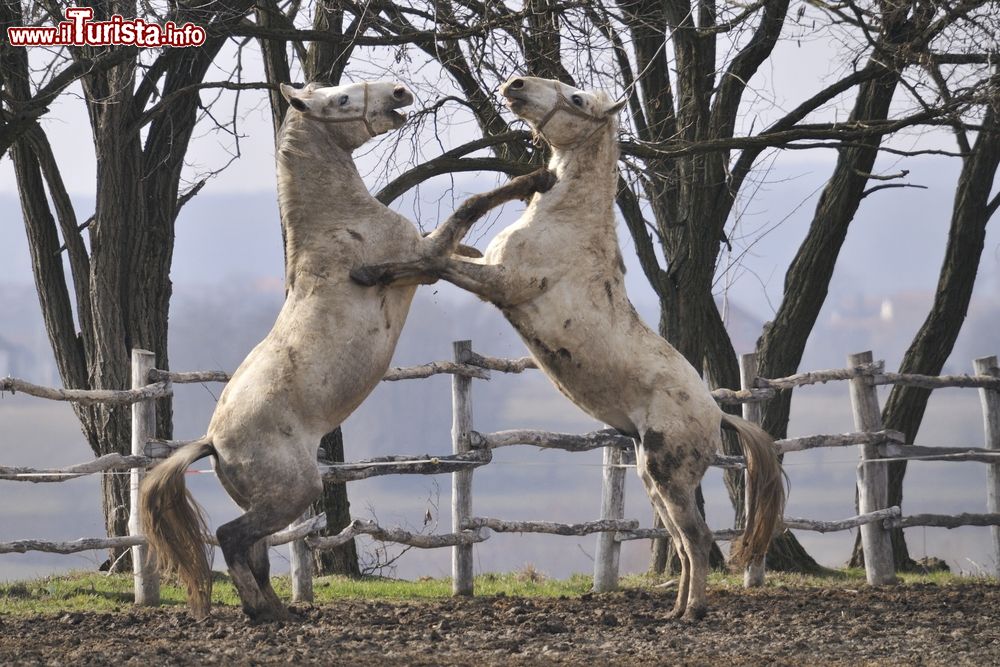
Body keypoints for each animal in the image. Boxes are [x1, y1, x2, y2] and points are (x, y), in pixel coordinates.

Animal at [143, 81, 556, 624]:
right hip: (295, 492)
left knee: (255, 550)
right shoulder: (421, 259)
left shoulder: (424, 256)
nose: (399, 92)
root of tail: (214, 441)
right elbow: (468, 210)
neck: (343, 227)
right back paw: (262, 612)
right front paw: (538, 177)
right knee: (232, 539)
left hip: (271, 500)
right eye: (338, 101)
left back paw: (278, 609)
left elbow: (461, 247)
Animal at [356, 77, 784, 620]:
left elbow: (434, 261)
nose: (515, 85)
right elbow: (442, 253)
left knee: (697, 538)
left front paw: (372, 272)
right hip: (652, 476)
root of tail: (719, 413)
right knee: (685, 542)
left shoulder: (503, 284)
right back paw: (673, 611)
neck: (564, 224)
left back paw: (691, 612)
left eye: (578, 100)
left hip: (669, 475)